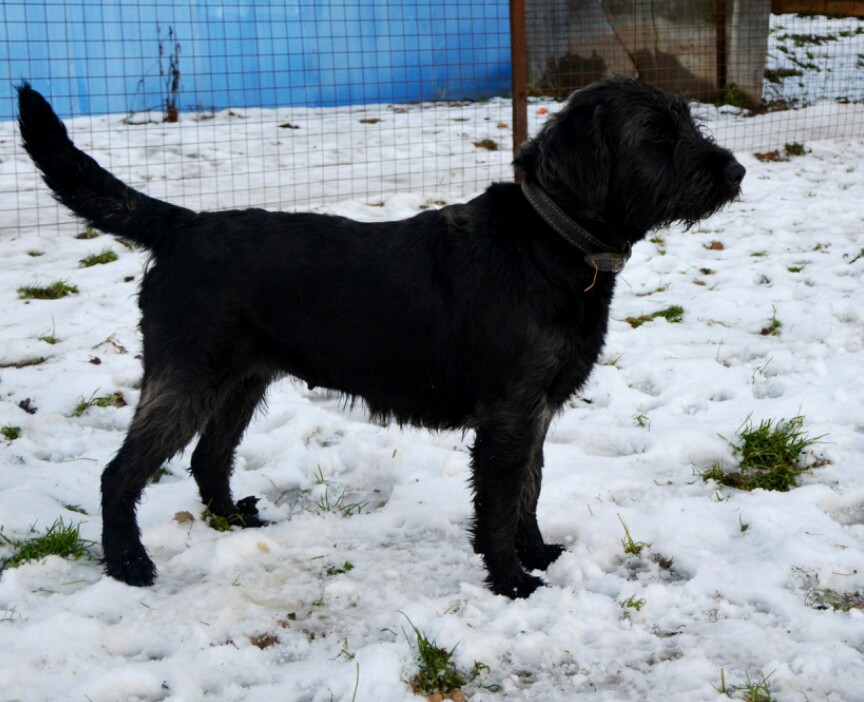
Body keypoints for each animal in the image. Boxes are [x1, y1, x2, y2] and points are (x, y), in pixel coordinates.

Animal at [17, 78, 744, 598]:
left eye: (687, 121)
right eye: (655, 136)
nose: (736, 172)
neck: (553, 244)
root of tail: (182, 225)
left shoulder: (536, 413)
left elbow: (531, 491)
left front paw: (536, 554)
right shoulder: (510, 416)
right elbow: (501, 503)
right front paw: (509, 580)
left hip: (240, 382)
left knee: (207, 460)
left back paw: (232, 519)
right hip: (188, 378)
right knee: (121, 472)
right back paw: (126, 562)